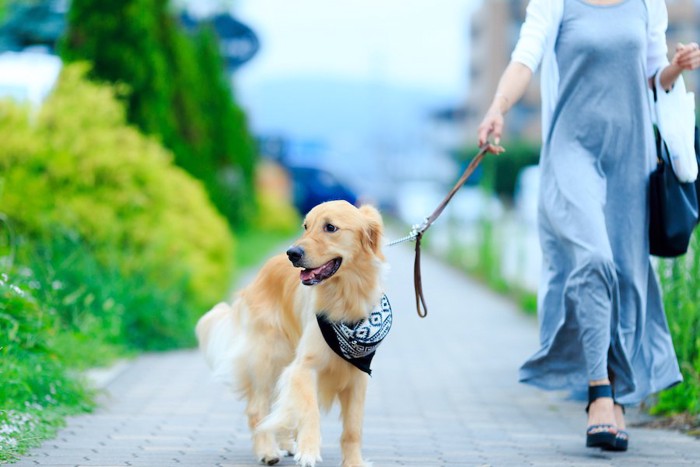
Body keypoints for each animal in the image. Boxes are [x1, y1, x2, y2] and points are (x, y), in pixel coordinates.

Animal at [197, 201, 392, 467]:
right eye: (306, 226)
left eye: (330, 227)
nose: (292, 253)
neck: (344, 297)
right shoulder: (304, 366)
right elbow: (309, 411)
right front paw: (308, 451)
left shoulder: (357, 376)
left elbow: (352, 429)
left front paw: (353, 462)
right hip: (269, 357)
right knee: (258, 410)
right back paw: (268, 451)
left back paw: (286, 444)